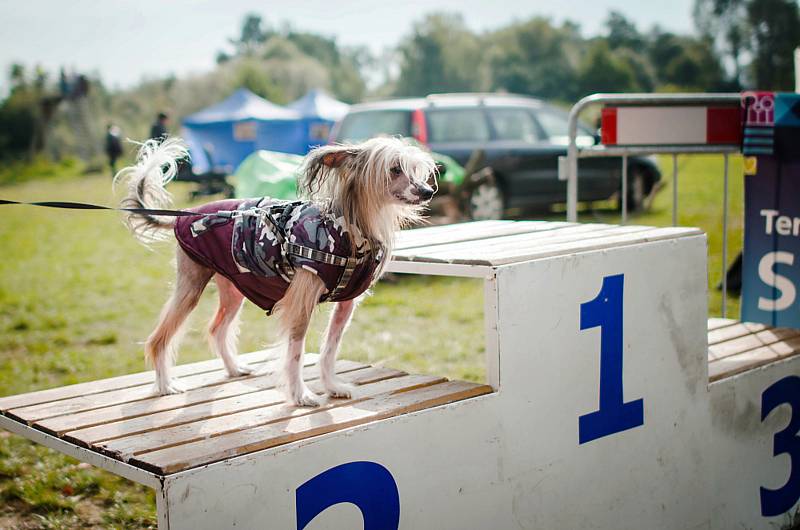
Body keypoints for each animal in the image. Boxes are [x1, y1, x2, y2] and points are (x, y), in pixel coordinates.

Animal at [115, 136, 434, 404]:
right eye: (395, 169)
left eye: (415, 170)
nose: (428, 191)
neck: (350, 229)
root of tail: (186, 216)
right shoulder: (300, 304)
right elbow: (295, 353)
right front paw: (300, 395)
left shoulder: (345, 305)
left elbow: (329, 350)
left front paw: (332, 386)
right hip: (191, 286)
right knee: (160, 338)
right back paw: (165, 384)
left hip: (233, 287)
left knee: (217, 329)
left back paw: (234, 369)